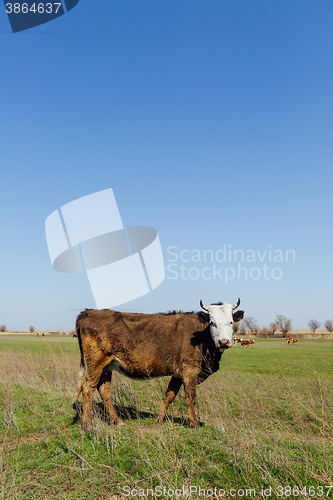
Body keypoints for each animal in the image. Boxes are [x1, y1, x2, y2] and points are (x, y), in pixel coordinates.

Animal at [73, 296, 244, 430]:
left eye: (230, 322)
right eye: (213, 323)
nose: (223, 342)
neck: (202, 338)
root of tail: (88, 312)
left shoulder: (177, 374)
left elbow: (170, 395)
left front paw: (160, 420)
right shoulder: (190, 372)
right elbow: (190, 397)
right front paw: (194, 424)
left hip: (106, 367)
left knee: (104, 391)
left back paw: (117, 421)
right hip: (95, 364)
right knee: (87, 388)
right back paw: (86, 425)